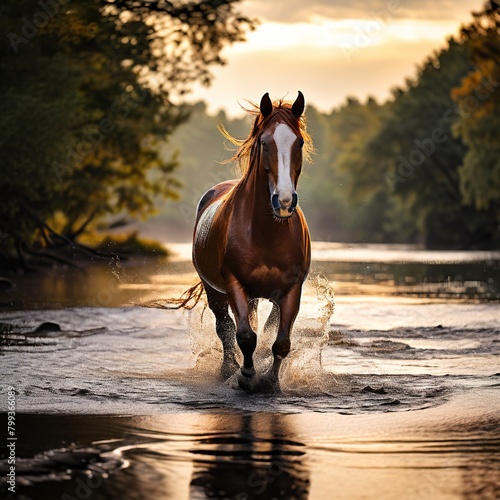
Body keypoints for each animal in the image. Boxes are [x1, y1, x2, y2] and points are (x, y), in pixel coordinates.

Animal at [189, 92, 310, 392]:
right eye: (264, 143)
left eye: (299, 142)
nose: (284, 201)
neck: (267, 234)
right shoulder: (234, 285)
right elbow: (244, 335)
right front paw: (245, 375)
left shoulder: (291, 290)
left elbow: (280, 342)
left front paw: (270, 380)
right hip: (214, 291)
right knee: (225, 328)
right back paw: (228, 368)